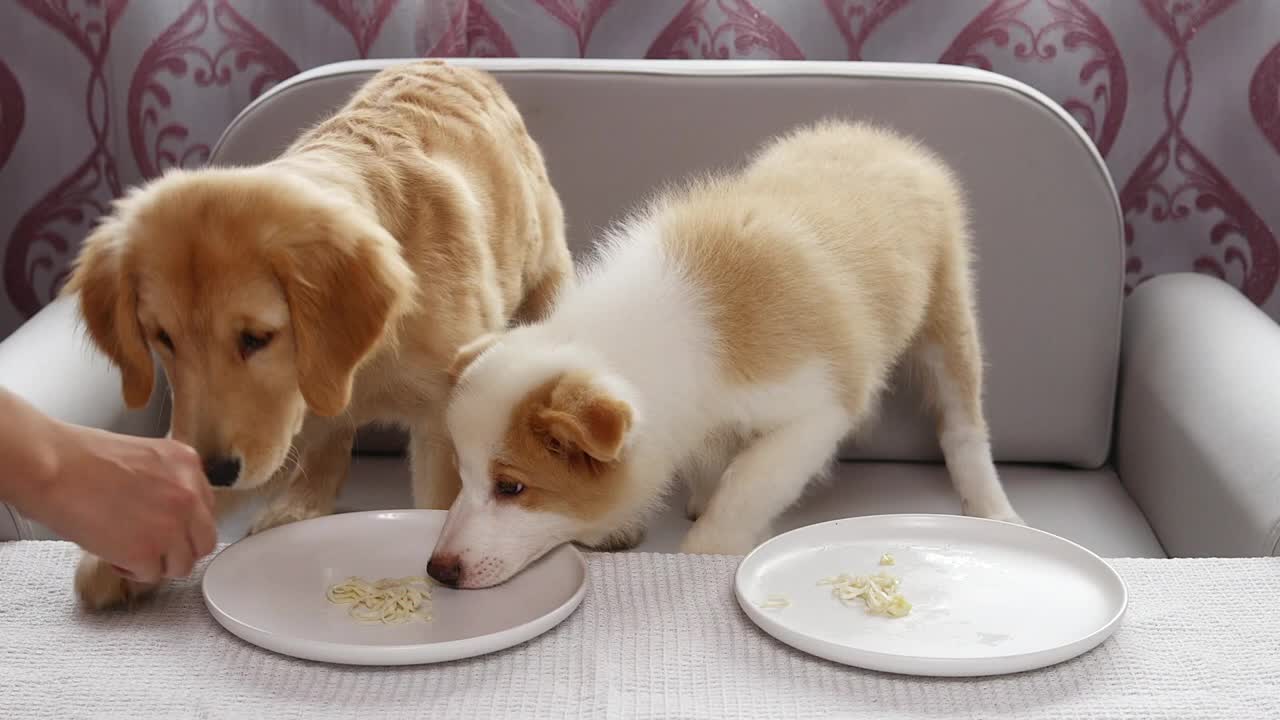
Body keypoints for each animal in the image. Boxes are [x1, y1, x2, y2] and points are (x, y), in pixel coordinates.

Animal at [62, 60, 573, 604]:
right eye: (163, 338)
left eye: (256, 338)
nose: (215, 471)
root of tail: (451, 64)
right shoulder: (284, 420)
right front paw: (127, 545)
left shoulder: (442, 419)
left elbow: (444, 503)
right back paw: (298, 507)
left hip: (545, 270)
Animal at [430, 119, 1018, 589]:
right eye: (461, 473)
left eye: (512, 487)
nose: (438, 570)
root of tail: (885, 140)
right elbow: (715, 467)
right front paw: (697, 502)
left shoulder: (815, 413)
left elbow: (746, 486)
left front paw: (708, 550)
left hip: (947, 316)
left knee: (963, 425)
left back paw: (993, 508)